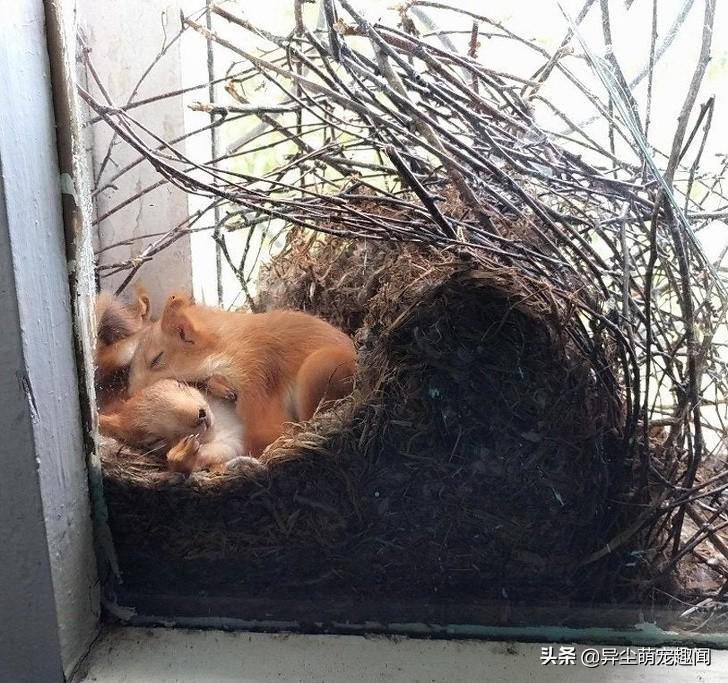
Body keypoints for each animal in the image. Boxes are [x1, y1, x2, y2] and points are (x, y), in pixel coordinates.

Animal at [98, 378, 261, 475]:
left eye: (180, 385)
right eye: (156, 441)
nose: (200, 416)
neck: (218, 431)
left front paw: (220, 388)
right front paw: (182, 454)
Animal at [127, 292, 357, 456]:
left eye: (156, 359)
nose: (129, 396)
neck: (225, 345)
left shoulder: (253, 374)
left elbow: (263, 428)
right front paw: (220, 387)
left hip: (317, 370)